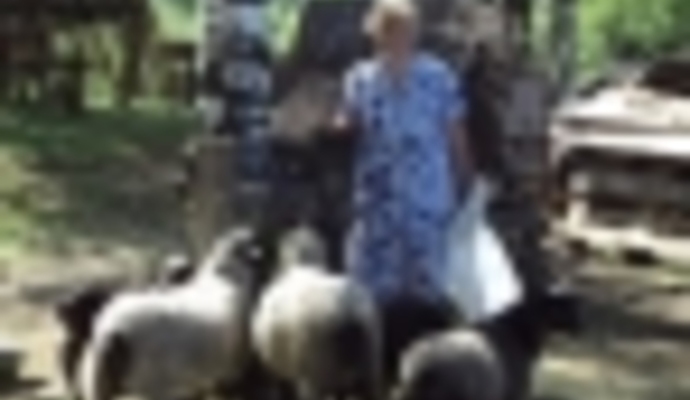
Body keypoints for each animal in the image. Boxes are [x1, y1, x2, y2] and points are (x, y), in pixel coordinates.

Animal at [77, 228, 266, 400]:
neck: (227, 277)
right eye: (251, 243)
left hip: (98, 380)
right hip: (154, 382)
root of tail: (114, 330)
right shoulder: (229, 372)